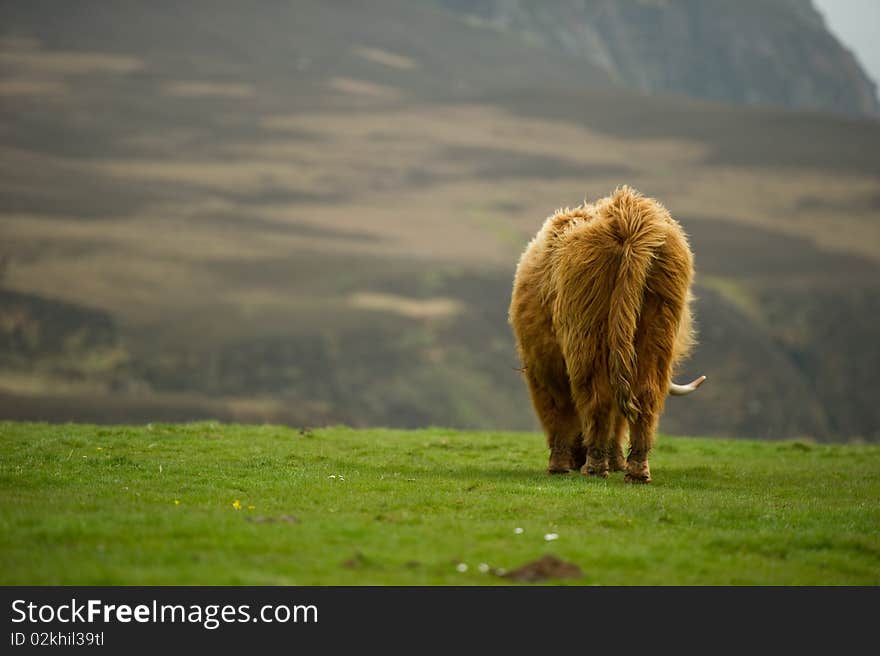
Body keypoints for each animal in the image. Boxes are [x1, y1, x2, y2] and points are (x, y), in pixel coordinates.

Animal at [506, 184, 704, 482]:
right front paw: (615, 461)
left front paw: (559, 465)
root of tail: (629, 217)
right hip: (658, 322)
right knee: (645, 395)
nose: (575, 459)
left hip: (587, 329)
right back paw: (636, 471)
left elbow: (557, 411)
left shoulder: (544, 369)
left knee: (596, 396)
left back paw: (595, 467)